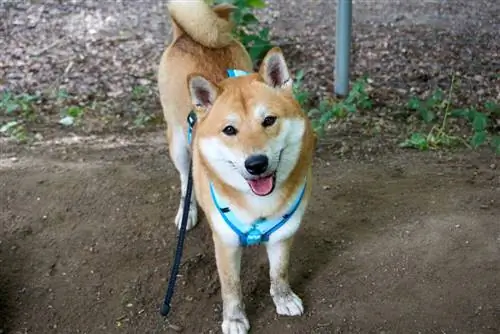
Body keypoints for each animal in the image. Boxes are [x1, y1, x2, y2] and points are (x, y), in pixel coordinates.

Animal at [158, 1, 314, 332]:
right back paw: (187, 212)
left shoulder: (283, 234)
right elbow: (231, 287)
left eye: (268, 120)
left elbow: (279, 272)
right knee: (185, 179)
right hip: (178, 144)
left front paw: (283, 298)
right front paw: (234, 318)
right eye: (229, 130)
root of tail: (186, 35)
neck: (258, 204)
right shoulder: (226, 244)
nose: (256, 164)